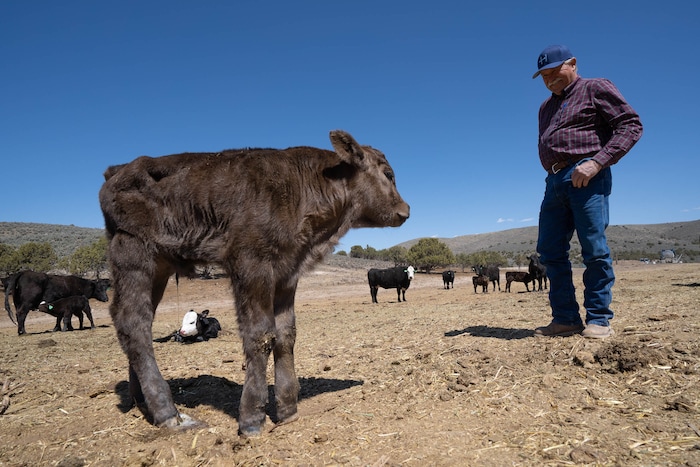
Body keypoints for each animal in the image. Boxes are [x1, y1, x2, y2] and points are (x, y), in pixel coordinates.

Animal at [99, 130, 410, 436]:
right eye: (388, 174)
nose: (405, 211)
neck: (303, 187)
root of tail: (118, 170)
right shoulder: (251, 266)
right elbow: (260, 335)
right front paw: (252, 417)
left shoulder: (287, 274)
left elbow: (286, 334)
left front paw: (287, 410)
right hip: (133, 256)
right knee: (132, 323)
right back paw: (168, 413)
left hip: (159, 268)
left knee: (141, 322)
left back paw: (142, 401)